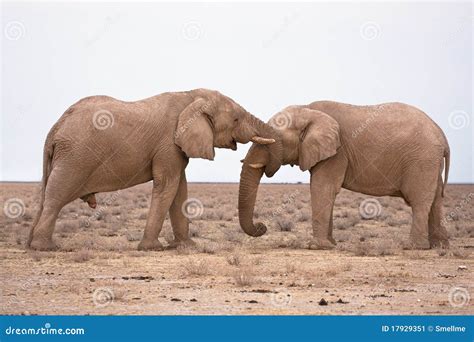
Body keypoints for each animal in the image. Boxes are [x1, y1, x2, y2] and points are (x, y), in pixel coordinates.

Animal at [26, 88, 278, 250]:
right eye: (236, 119)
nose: (262, 227)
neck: (190, 96)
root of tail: (56, 127)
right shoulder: (168, 143)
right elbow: (168, 185)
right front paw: (151, 247)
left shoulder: (175, 148)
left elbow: (179, 190)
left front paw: (186, 246)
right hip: (75, 157)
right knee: (56, 196)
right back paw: (46, 248)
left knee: (45, 194)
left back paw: (30, 244)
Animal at [239, 100, 450, 250]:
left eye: (276, 139)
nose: (262, 226)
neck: (309, 110)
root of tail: (442, 134)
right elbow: (325, 191)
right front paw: (330, 244)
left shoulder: (337, 153)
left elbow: (322, 188)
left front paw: (316, 247)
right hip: (431, 161)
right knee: (436, 200)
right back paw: (439, 247)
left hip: (422, 159)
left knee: (419, 201)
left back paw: (413, 247)